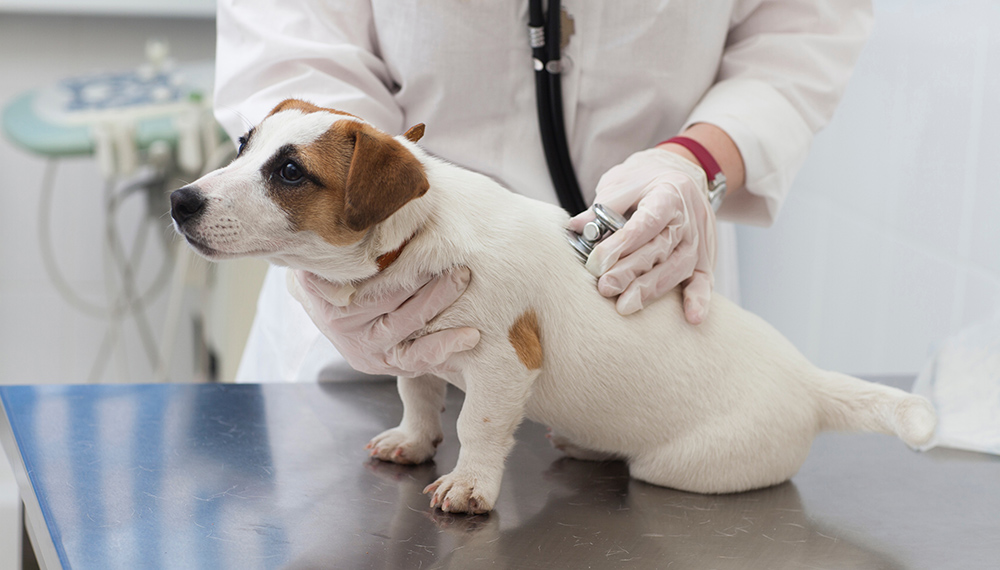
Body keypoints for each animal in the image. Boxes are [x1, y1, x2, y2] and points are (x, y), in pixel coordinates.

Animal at [170, 98, 936, 516]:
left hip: (685, 464)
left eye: (290, 172)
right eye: (243, 146)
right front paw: (414, 439)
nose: (180, 200)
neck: (416, 235)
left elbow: (477, 425)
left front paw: (470, 484)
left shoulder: (504, 364)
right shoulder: (408, 343)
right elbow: (418, 396)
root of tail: (808, 382)